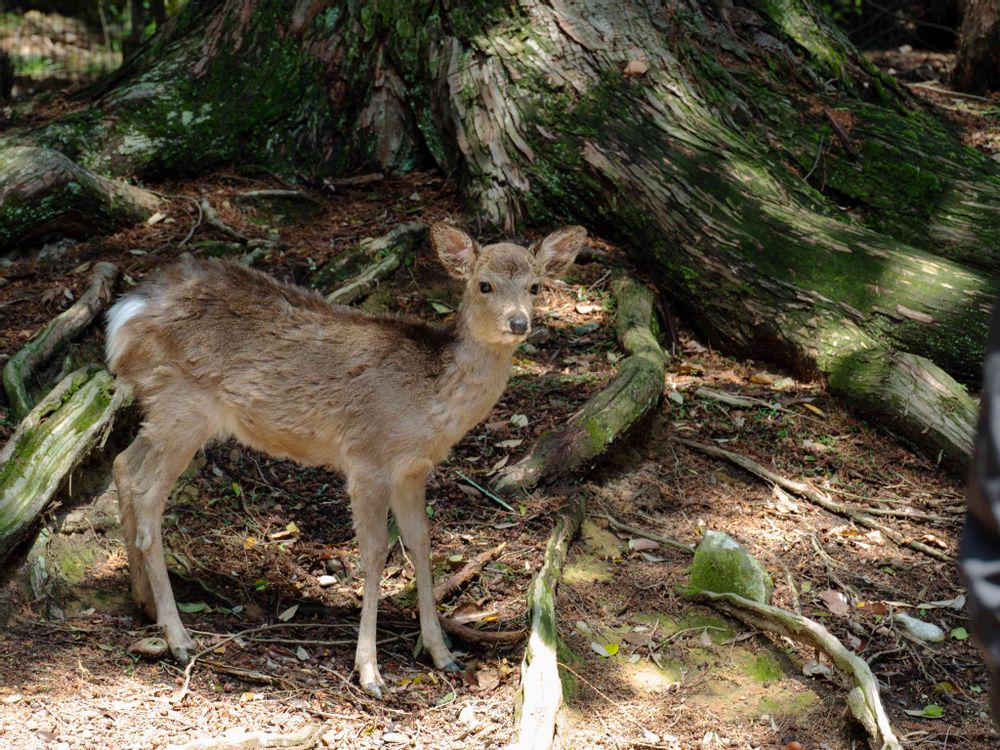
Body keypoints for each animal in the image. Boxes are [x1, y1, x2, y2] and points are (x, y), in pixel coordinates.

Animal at [105, 223, 586, 698]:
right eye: (484, 284)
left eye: (535, 286)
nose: (519, 322)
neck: (430, 401)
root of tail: (123, 316)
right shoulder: (368, 458)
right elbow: (374, 553)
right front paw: (370, 672)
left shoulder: (413, 468)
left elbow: (421, 543)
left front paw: (441, 652)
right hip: (183, 403)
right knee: (147, 495)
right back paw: (178, 636)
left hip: (164, 409)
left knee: (123, 466)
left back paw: (143, 602)